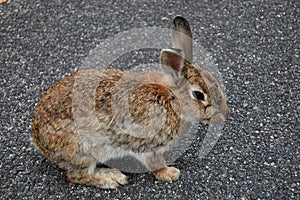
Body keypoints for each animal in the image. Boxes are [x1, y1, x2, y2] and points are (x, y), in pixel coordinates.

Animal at [32, 16, 230, 189]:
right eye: (198, 95)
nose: (224, 114)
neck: (173, 100)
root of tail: (38, 140)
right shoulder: (149, 143)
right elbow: (155, 163)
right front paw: (170, 173)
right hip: (84, 150)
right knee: (77, 175)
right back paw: (112, 178)